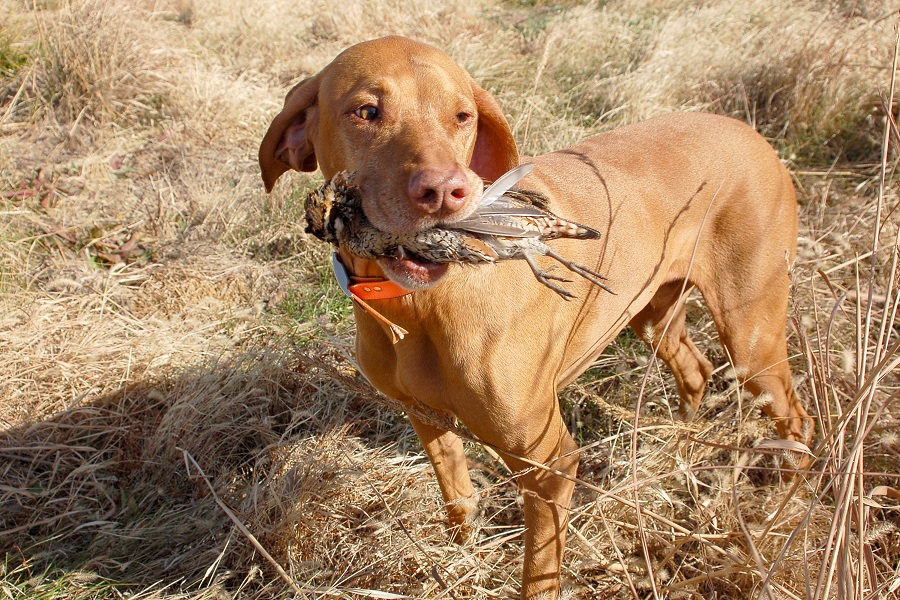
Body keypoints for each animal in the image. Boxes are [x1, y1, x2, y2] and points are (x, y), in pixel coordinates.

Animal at [260, 36, 816, 596]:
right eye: (367, 111)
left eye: (462, 116)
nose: (446, 193)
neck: (418, 306)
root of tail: (751, 133)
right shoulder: (426, 420)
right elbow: (458, 500)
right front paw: (460, 560)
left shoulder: (549, 463)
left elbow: (540, 573)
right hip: (652, 313)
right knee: (696, 371)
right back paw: (675, 451)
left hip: (751, 337)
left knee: (796, 417)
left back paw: (783, 505)